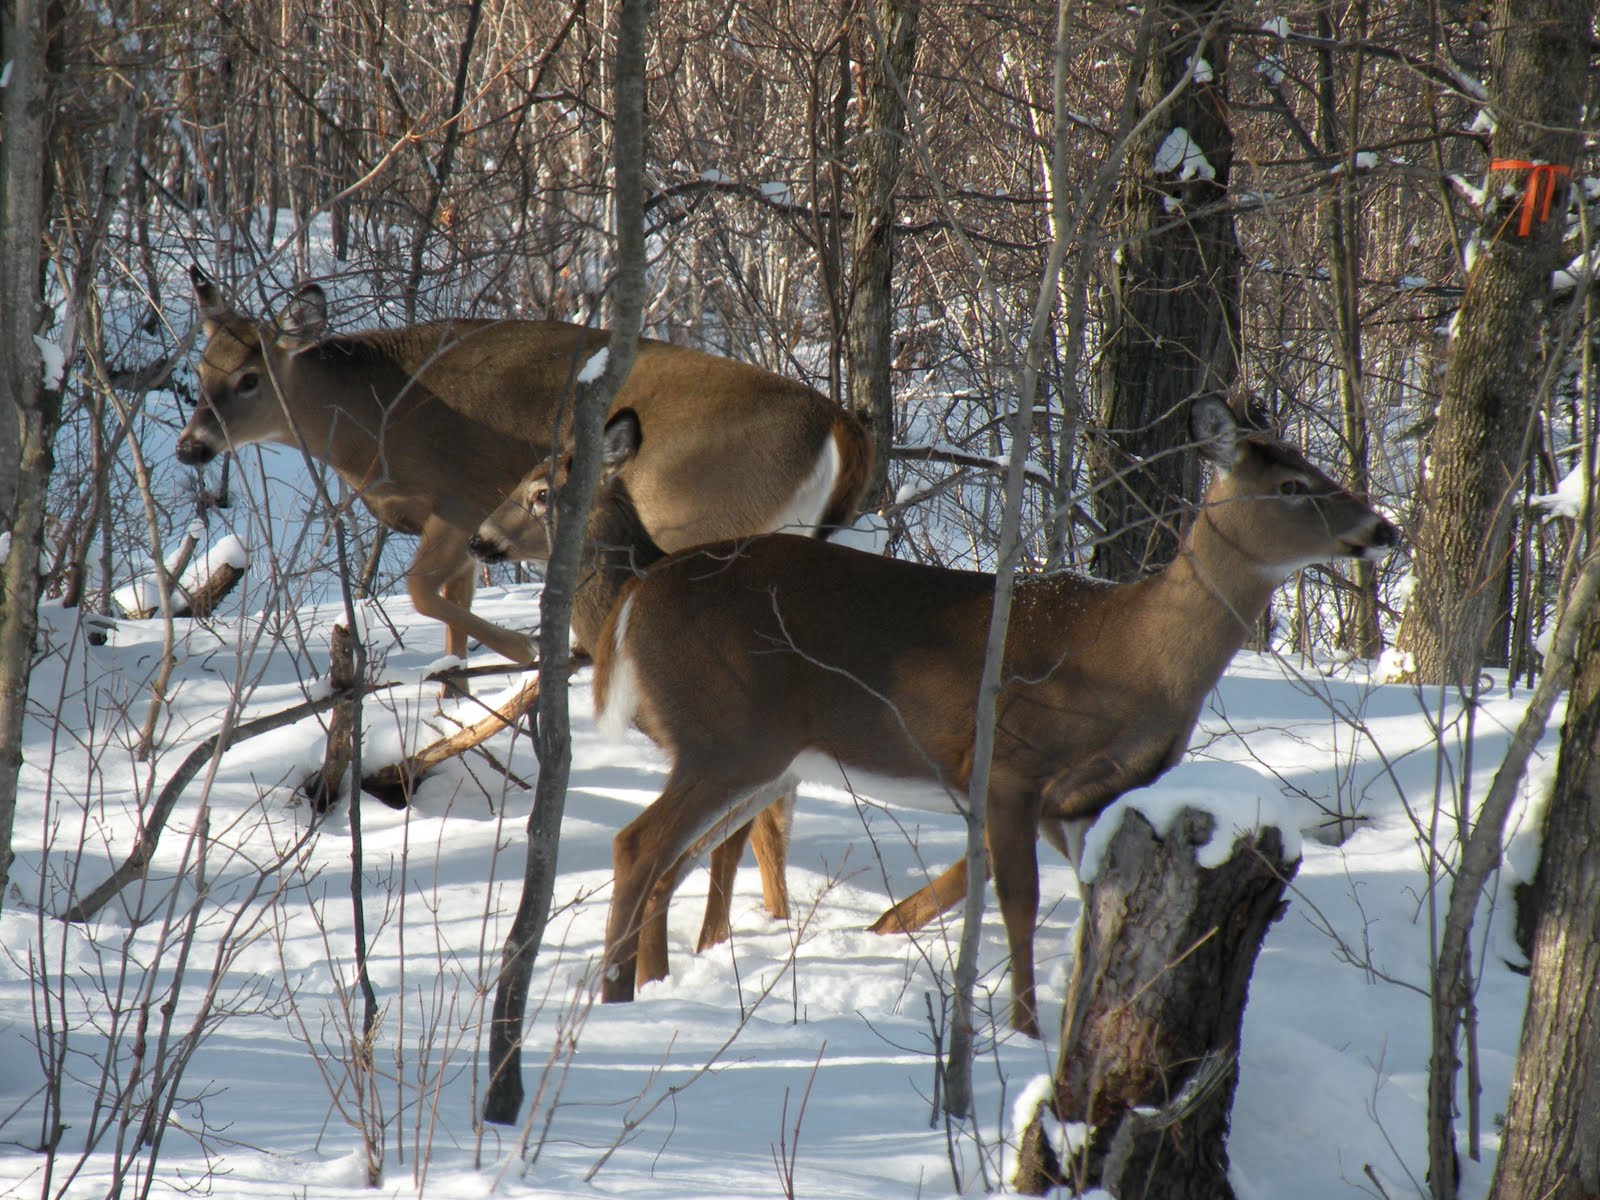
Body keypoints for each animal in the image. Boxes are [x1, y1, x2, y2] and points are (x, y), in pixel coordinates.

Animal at [177, 265, 873, 668]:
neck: (373, 419)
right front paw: (453, 692)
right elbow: (449, 612)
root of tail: (836, 422)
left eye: (248, 378)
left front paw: (526, 647)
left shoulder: (458, 497)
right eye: (200, 367)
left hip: (703, 514)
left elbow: (421, 590)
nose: (191, 447)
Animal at [468, 408, 795, 954]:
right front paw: (775, 922)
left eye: (542, 492)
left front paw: (712, 944)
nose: (478, 540)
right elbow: (760, 833)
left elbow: (732, 840)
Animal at [585, 396, 1396, 1036]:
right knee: (638, 844)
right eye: (1293, 485)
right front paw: (1025, 1031)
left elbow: (1094, 910)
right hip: (727, 738)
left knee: (671, 856)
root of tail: (633, 598)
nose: (1382, 528)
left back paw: (645, 988)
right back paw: (615, 1000)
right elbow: (1018, 903)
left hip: (756, 755)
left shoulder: (1087, 797)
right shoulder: (1009, 765)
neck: (1132, 655)